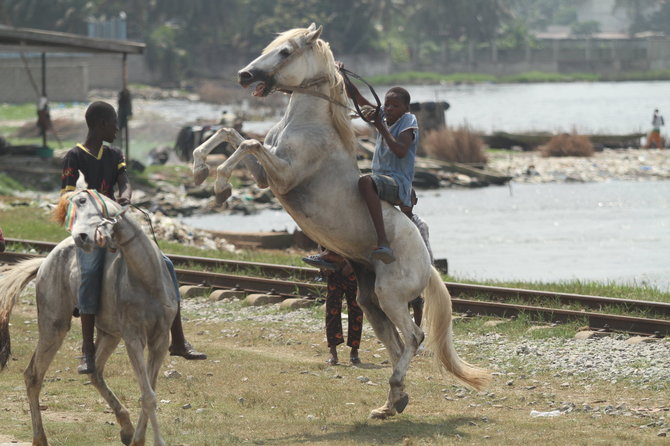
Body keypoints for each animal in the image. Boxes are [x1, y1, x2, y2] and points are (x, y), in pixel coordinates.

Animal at [0, 190, 178, 446]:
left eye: (85, 202)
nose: (81, 237)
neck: (146, 279)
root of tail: (45, 262)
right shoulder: (134, 338)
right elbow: (148, 395)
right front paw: (153, 440)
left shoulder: (161, 339)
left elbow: (149, 389)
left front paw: (138, 437)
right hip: (54, 327)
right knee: (33, 376)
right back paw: (40, 438)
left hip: (110, 334)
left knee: (95, 372)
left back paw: (125, 427)